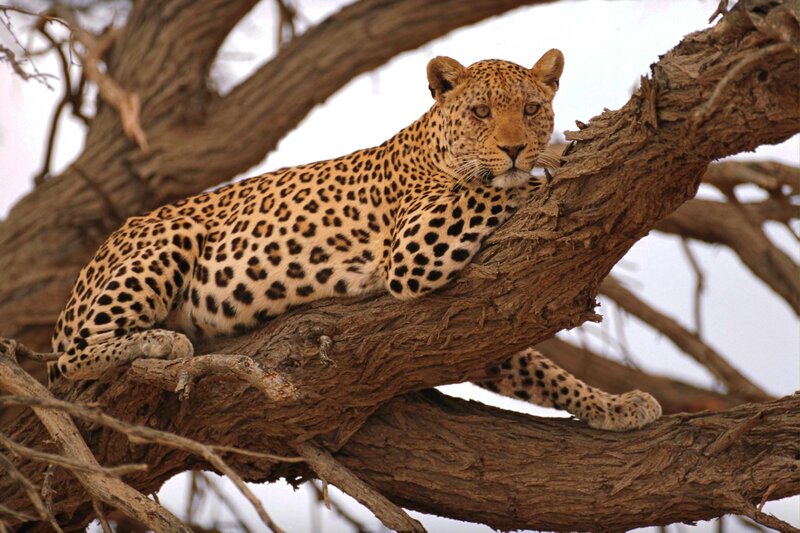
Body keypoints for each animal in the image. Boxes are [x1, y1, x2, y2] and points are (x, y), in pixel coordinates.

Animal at [49, 49, 661, 431]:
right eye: (481, 112)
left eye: (532, 108)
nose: (514, 148)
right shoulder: (414, 246)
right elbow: (495, 187)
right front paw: (555, 163)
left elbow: (539, 370)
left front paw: (615, 406)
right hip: (168, 238)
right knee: (74, 357)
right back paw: (160, 343)